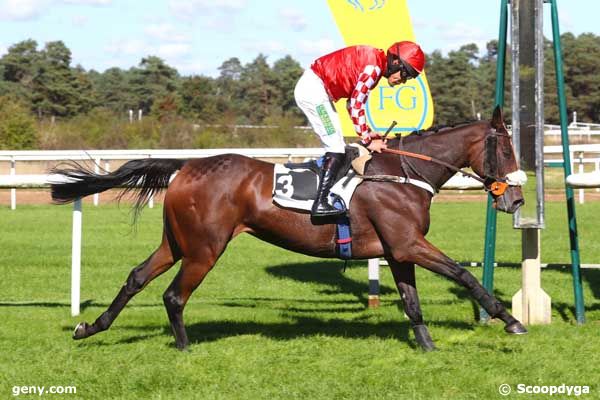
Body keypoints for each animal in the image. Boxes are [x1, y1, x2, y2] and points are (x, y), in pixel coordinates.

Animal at [54, 105, 528, 350]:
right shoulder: (410, 244)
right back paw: (185, 348)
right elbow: (465, 275)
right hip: (205, 248)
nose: (517, 199)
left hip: (177, 242)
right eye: (507, 149)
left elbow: (412, 302)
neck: (402, 173)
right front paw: (510, 320)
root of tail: (185, 166)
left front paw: (426, 346)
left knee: (137, 277)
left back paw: (90, 327)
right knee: (173, 295)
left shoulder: (397, 250)